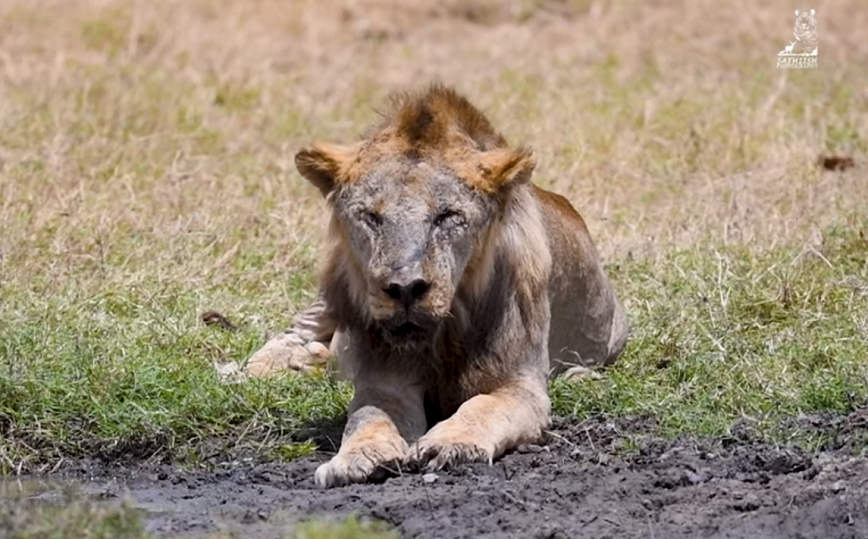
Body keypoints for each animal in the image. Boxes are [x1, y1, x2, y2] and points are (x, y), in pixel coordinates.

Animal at [248, 85, 628, 490]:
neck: (446, 330)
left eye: (446, 216)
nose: (404, 288)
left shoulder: (521, 383)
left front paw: (450, 444)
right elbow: (368, 416)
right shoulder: (385, 382)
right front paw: (356, 458)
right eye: (371, 216)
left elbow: (482, 407)